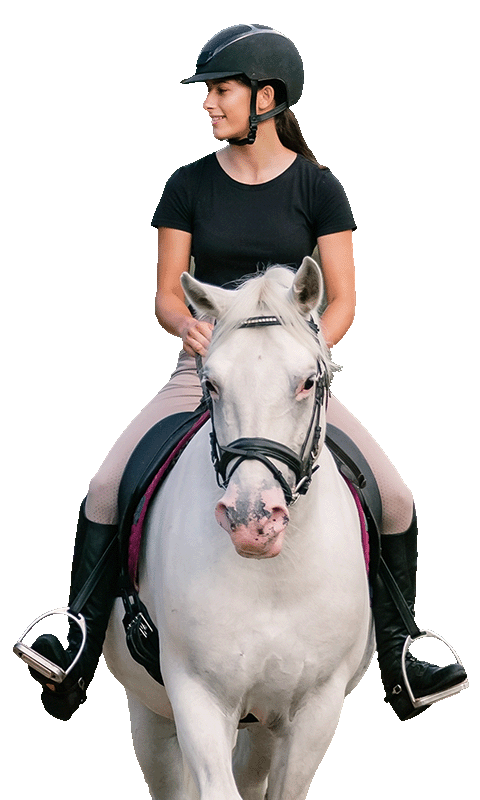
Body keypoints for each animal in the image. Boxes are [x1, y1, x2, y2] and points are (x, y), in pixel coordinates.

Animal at [103, 256, 375, 800]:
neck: (273, 578)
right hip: (150, 714)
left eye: (307, 382)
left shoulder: (315, 711)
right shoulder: (197, 697)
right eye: (211, 384)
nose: (252, 521)